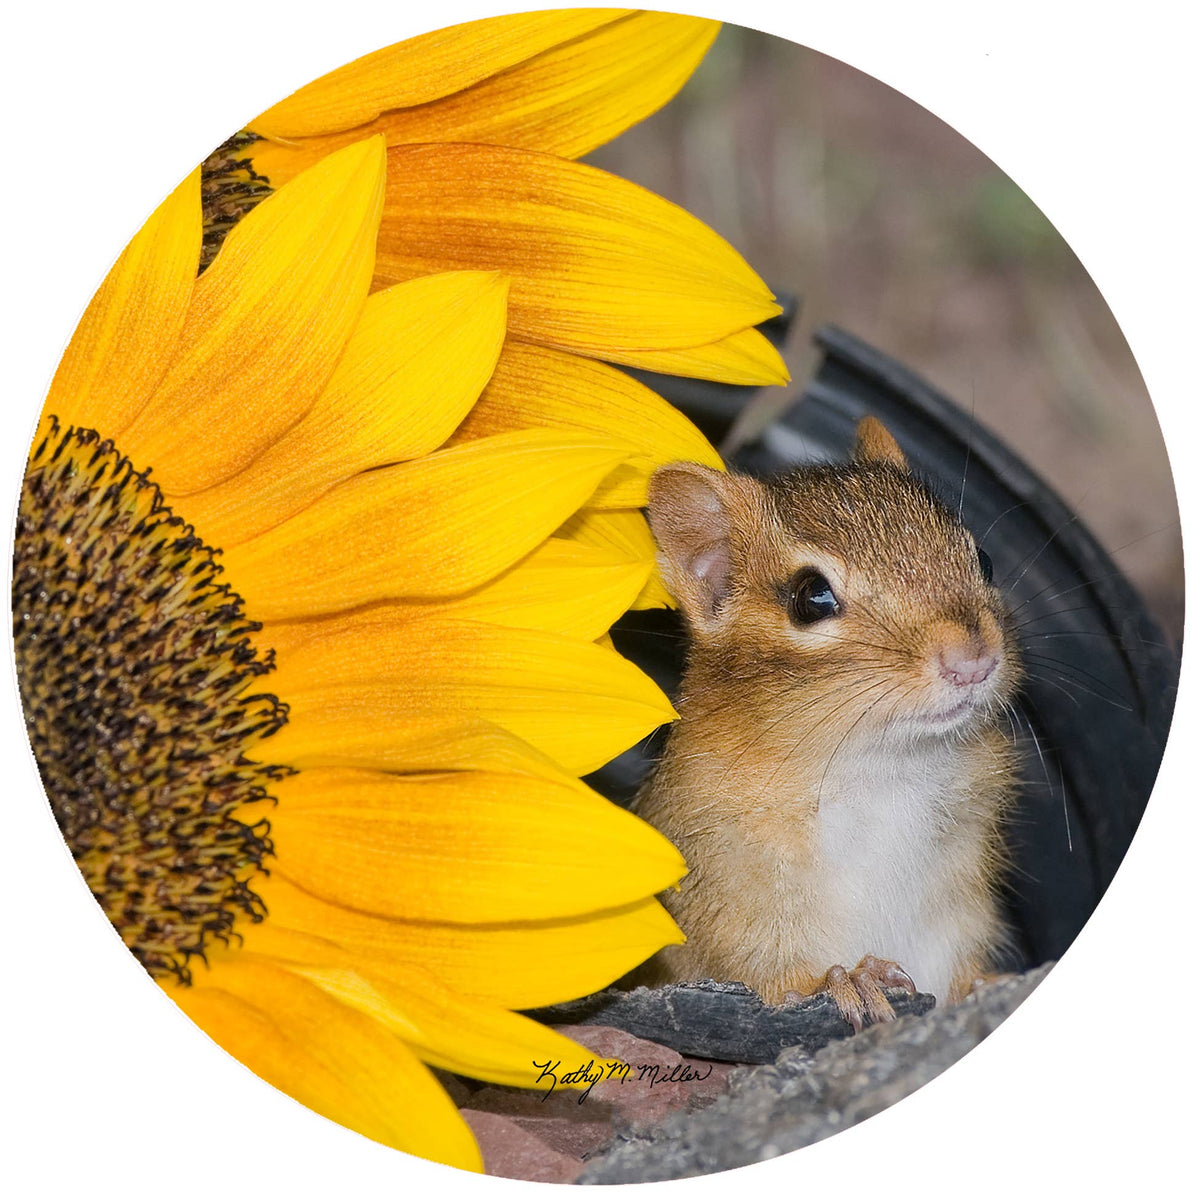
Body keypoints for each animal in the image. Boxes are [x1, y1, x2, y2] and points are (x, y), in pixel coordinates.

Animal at [631, 417, 1021, 1030]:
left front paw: (986, 984)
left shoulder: (959, 911)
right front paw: (849, 980)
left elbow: (960, 974)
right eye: (810, 597)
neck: (881, 768)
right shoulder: (727, 919)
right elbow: (771, 979)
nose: (974, 660)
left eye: (982, 558)